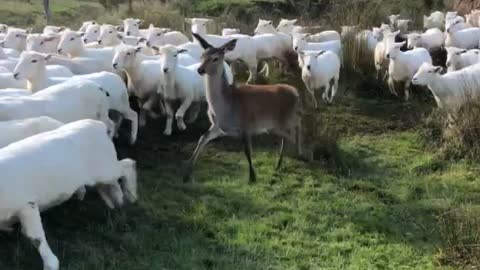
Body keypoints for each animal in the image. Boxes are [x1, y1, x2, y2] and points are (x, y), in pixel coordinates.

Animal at [0, 119, 137, 270]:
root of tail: (98, 125)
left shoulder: (26, 205)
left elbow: (36, 237)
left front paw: (51, 263)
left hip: (105, 168)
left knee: (127, 164)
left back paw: (131, 195)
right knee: (109, 184)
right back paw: (116, 202)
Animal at [185, 32, 304, 184]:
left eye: (215, 58)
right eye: (202, 56)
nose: (200, 70)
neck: (225, 106)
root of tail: (295, 92)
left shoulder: (246, 124)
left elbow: (247, 150)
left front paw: (252, 176)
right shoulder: (218, 126)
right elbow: (202, 139)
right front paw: (187, 172)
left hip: (284, 119)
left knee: (293, 133)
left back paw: (295, 156)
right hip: (280, 122)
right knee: (293, 130)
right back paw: (285, 160)